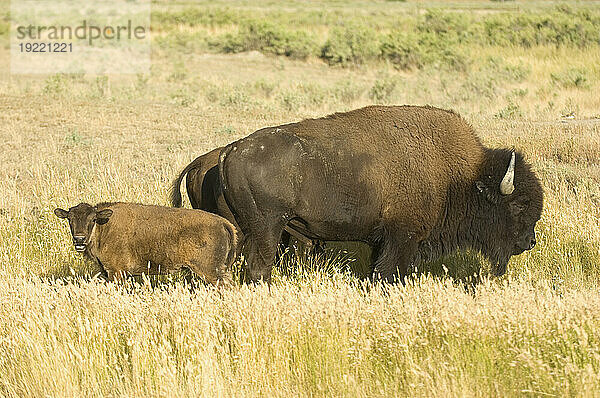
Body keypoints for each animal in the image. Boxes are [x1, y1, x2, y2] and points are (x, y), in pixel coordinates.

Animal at [54, 202, 237, 286]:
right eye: (70, 219)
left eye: (92, 219)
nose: (79, 239)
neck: (103, 227)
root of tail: (223, 223)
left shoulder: (117, 272)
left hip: (210, 272)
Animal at [220, 104, 544, 282]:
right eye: (518, 204)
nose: (529, 242)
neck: (463, 176)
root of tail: (231, 151)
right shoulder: (402, 238)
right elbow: (388, 274)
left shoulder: (383, 242)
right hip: (268, 228)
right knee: (259, 268)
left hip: (240, 227)